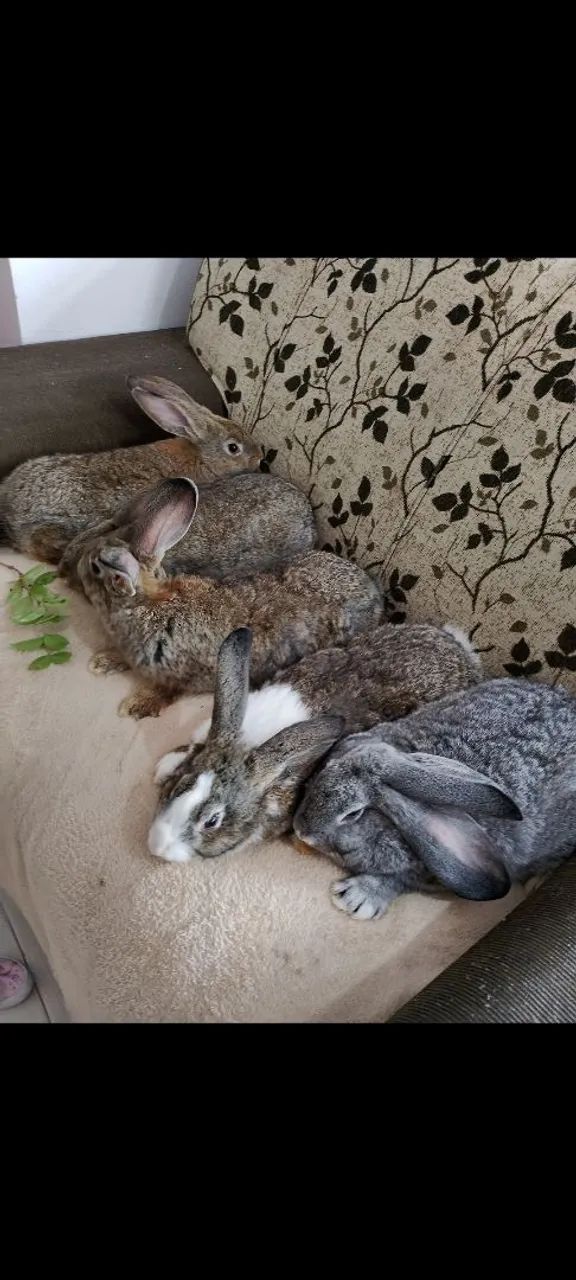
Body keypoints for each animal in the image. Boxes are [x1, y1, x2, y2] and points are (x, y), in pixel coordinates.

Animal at [63, 476, 383, 720]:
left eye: (93, 566)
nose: (68, 570)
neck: (149, 604)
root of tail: (376, 596)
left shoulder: (181, 673)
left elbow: (167, 691)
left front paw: (136, 705)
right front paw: (104, 661)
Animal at [148, 619, 481, 864]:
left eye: (212, 821)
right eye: (178, 788)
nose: (156, 846)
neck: (253, 741)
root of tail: (462, 650)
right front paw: (164, 765)